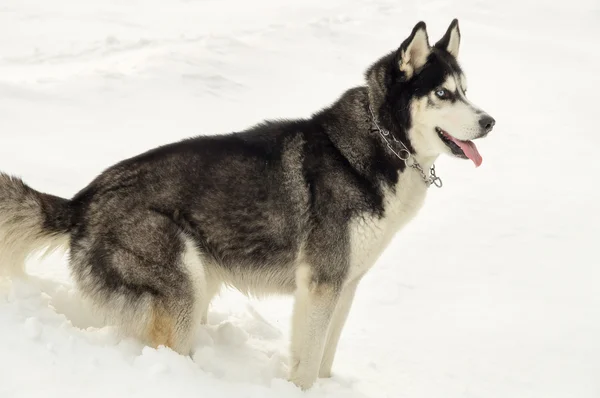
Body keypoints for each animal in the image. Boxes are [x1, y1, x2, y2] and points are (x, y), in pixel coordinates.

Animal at [0, 19, 492, 388]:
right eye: (443, 93)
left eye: (466, 90)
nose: (489, 121)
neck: (376, 143)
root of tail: (83, 200)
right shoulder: (321, 284)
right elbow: (308, 363)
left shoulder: (345, 285)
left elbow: (325, 358)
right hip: (183, 286)